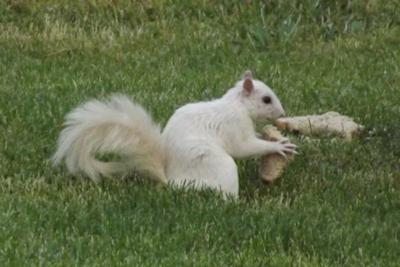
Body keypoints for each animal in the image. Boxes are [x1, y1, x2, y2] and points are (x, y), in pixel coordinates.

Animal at [53, 71, 296, 199]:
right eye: (266, 99)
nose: (283, 114)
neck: (237, 105)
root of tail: (171, 180)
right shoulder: (234, 126)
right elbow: (245, 147)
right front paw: (279, 146)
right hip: (220, 166)